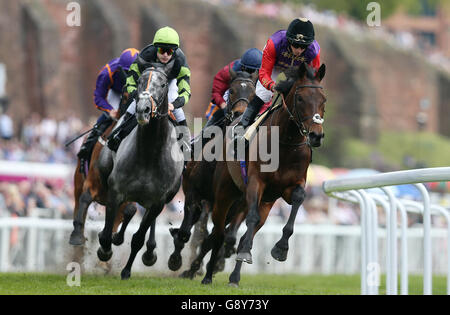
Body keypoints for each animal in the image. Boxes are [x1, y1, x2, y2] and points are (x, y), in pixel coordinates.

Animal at [96, 62, 185, 282]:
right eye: (139, 82)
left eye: (162, 84)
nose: (143, 109)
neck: (149, 154)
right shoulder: (116, 191)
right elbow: (106, 232)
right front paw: (105, 250)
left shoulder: (158, 202)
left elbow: (138, 237)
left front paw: (126, 270)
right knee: (127, 211)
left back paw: (149, 252)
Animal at [167, 70, 256, 272]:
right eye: (232, 90)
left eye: (253, 93)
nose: (240, 114)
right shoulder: (194, 192)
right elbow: (186, 231)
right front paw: (175, 260)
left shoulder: (236, 205)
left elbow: (220, 237)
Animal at [184, 62, 326, 286]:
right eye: (301, 98)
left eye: (323, 100)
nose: (316, 135)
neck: (284, 144)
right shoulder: (254, 183)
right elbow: (248, 220)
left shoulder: (290, 186)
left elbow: (297, 200)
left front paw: (281, 248)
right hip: (223, 195)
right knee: (216, 233)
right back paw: (204, 274)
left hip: (261, 204)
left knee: (232, 235)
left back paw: (232, 275)